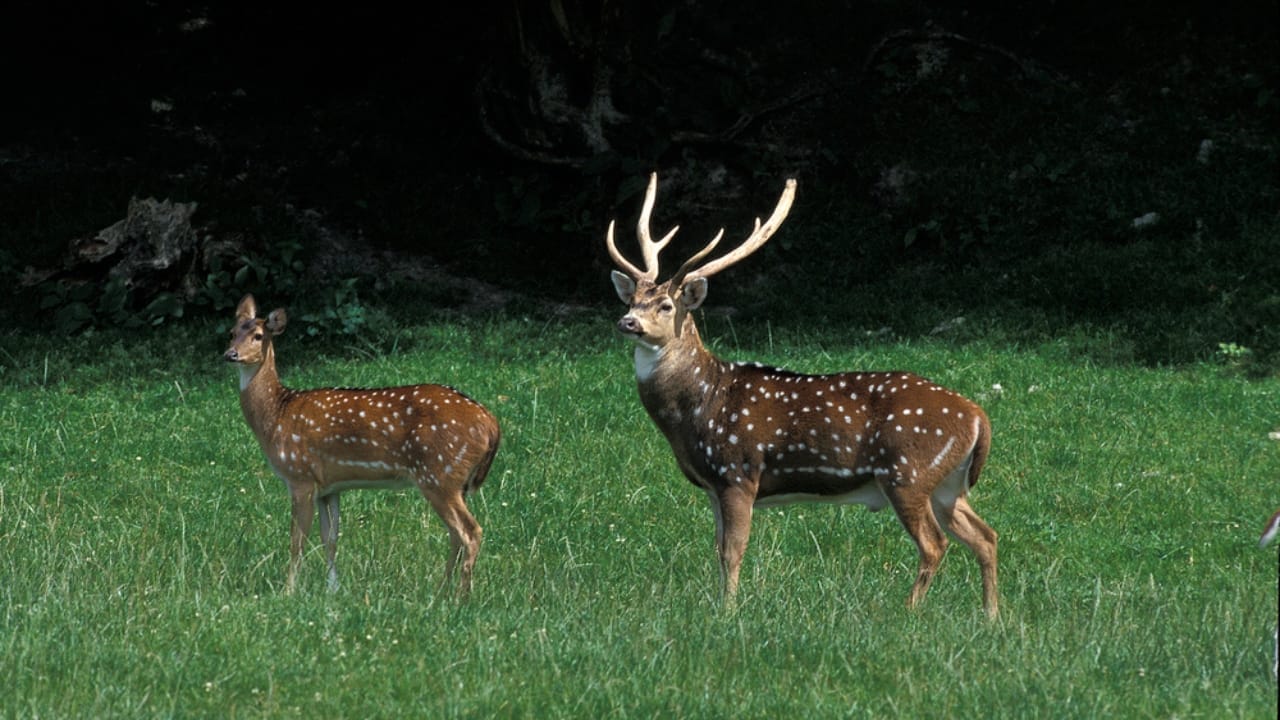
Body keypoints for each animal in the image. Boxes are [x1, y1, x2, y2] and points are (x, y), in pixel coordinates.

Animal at [224, 294, 501, 597]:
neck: (277, 414)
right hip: (453, 480)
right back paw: (439, 591)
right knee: (456, 534)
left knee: (470, 531)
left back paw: (460, 597)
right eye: (232, 332)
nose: (230, 354)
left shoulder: (300, 476)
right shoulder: (329, 487)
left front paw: (288, 591)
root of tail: (490, 423)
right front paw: (333, 589)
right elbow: (330, 538)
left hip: (439, 473)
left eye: (258, 336)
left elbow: (297, 541)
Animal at [606, 173, 999, 618]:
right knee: (986, 536)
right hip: (947, 482)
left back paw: (908, 610)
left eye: (667, 306)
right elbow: (718, 549)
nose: (627, 321)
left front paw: (729, 612)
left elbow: (733, 551)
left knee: (935, 544)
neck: (699, 406)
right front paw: (720, 604)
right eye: (633, 299)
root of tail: (978, 417)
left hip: (908, 471)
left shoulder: (739, 470)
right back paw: (991, 617)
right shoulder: (712, 485)